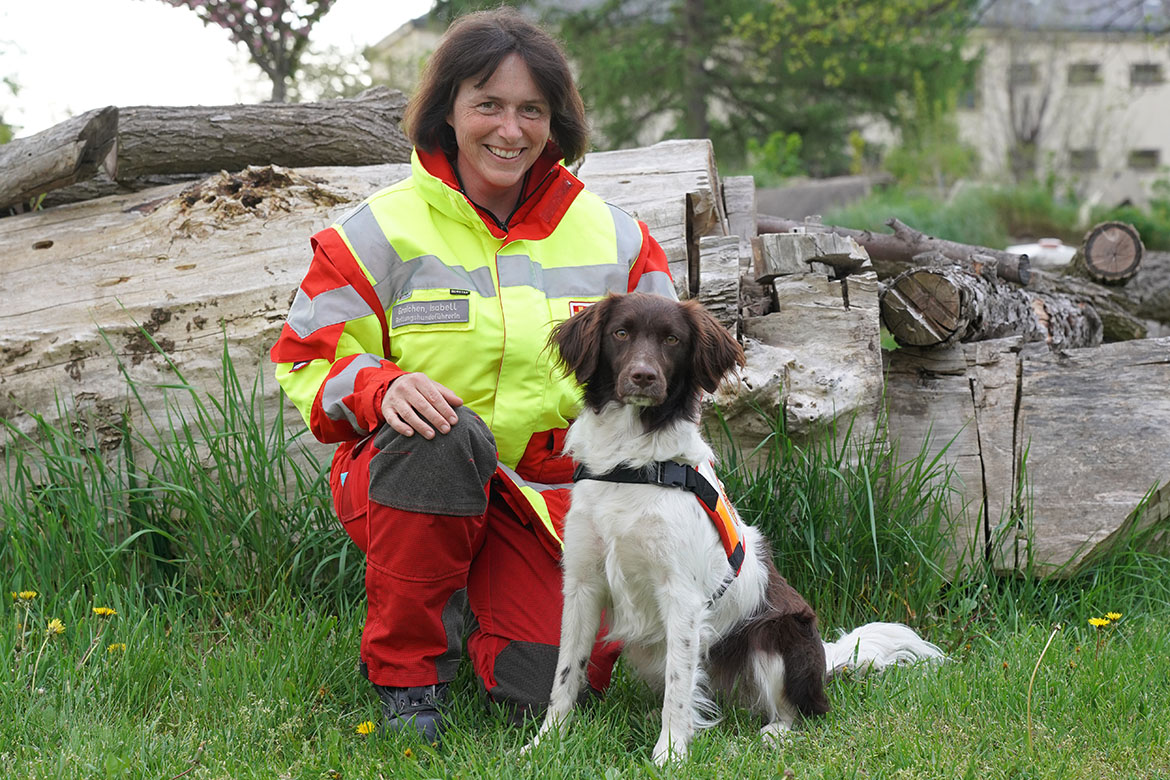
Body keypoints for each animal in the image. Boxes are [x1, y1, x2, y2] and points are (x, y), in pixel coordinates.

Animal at [528, 292, 940, 762]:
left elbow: (678, 688)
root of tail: (825, 657)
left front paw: (669, 755)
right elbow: (566, 674)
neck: (630, 465)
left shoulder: (682, 597)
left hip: (777, 634)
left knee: (799, 710)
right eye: (620, 333)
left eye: (672, 339)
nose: (643, 376)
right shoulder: (583, 584)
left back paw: (775, 732)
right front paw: (544, 743)